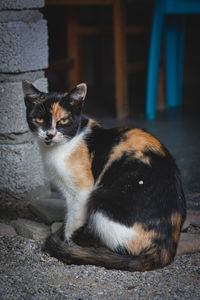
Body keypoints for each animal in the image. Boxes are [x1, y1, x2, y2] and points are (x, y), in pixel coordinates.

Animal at [22, 80, 186, 272]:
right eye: (39, 119)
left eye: (63, 120)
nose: (50, 134)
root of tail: (167, 246)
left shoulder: (82, 191)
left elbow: (73, 221)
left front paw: (66, 244)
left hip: (99, 201)